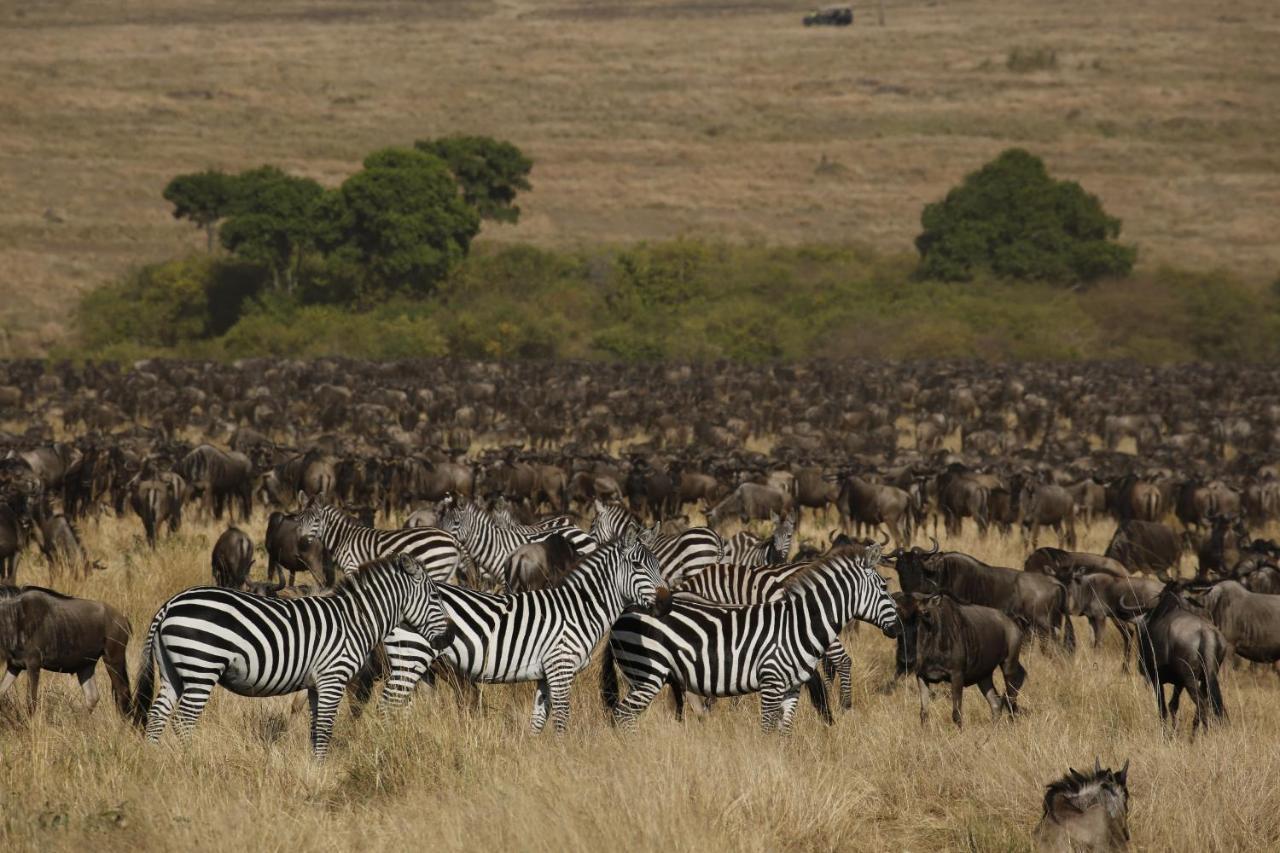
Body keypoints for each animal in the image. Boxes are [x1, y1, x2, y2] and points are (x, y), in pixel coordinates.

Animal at [133, 550, 455, 758]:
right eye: (436, 596)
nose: (451, 636)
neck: (354, 621)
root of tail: (170, 604)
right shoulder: (333, 678)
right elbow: (325, 728)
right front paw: (323, 771)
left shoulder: (315, 685)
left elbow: (315, 729)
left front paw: (314, 769)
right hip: (201, 665)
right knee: (184, 720)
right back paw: (191, 762)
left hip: (174, 671)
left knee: (158, 715)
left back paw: (153, 762)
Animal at [295, 494, 465, 581]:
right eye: (300, 519)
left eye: (316, 520)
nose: (301, 544)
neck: (342, 537)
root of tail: (451, 538)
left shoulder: (351, 566)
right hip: (446, 573)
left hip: (435, 569)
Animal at [371, 535, 670, 732]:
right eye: (638, 566)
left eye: (658, 565)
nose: (666, 604)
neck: (577, 610)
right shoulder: (561, 666)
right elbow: (562, 716)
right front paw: (562, 757)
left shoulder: (545, 673)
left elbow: (538, 719)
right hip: (412, 655)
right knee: (387, 705)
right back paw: (389, 744)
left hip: (417, 663)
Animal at [599, 545, 901, 732]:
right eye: (884, 587)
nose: (898, 628)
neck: (799, 624)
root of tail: (625, 613)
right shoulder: (771, 682)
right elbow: (767, 730)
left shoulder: (791, 688)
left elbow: (784, 732)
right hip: (647, 674)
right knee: (623, 716)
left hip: (639, 676)